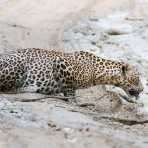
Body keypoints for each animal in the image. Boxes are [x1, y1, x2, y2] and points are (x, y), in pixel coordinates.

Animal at [0, 48, 143, 102]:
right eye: (137, 78)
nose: (142, 89)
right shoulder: (60, 62)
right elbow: (69, 88)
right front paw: (73, 100)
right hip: (19, 65)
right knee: (7, 88)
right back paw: (30, 88)